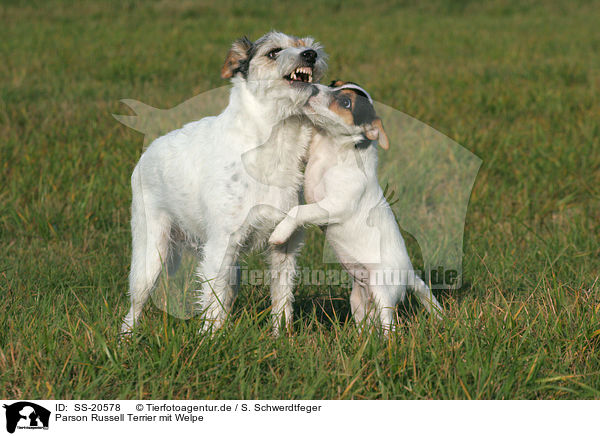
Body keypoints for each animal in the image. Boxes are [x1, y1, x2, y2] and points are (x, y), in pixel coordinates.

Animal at [121, 32, 326, 336]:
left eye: (306, 44)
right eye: (274, 52)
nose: (311, 55)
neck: (274, 143)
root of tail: (148, 152)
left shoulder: (284, 245)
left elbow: (281, 296)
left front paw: (281, 337)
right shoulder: (222, 244)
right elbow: (213, 299)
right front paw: (210, 339)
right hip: (150, 250)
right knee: (136, 304)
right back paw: (125, 337)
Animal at [270, 82, 442, 332]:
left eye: (345, 102)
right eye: (333, 84)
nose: (312, 87)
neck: (332, 149)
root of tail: (409, 273)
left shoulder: (334, 204)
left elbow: (299, 211)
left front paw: (279, 233)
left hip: (382, 291)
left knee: (389, 326)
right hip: (358, 300)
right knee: (367, 326)